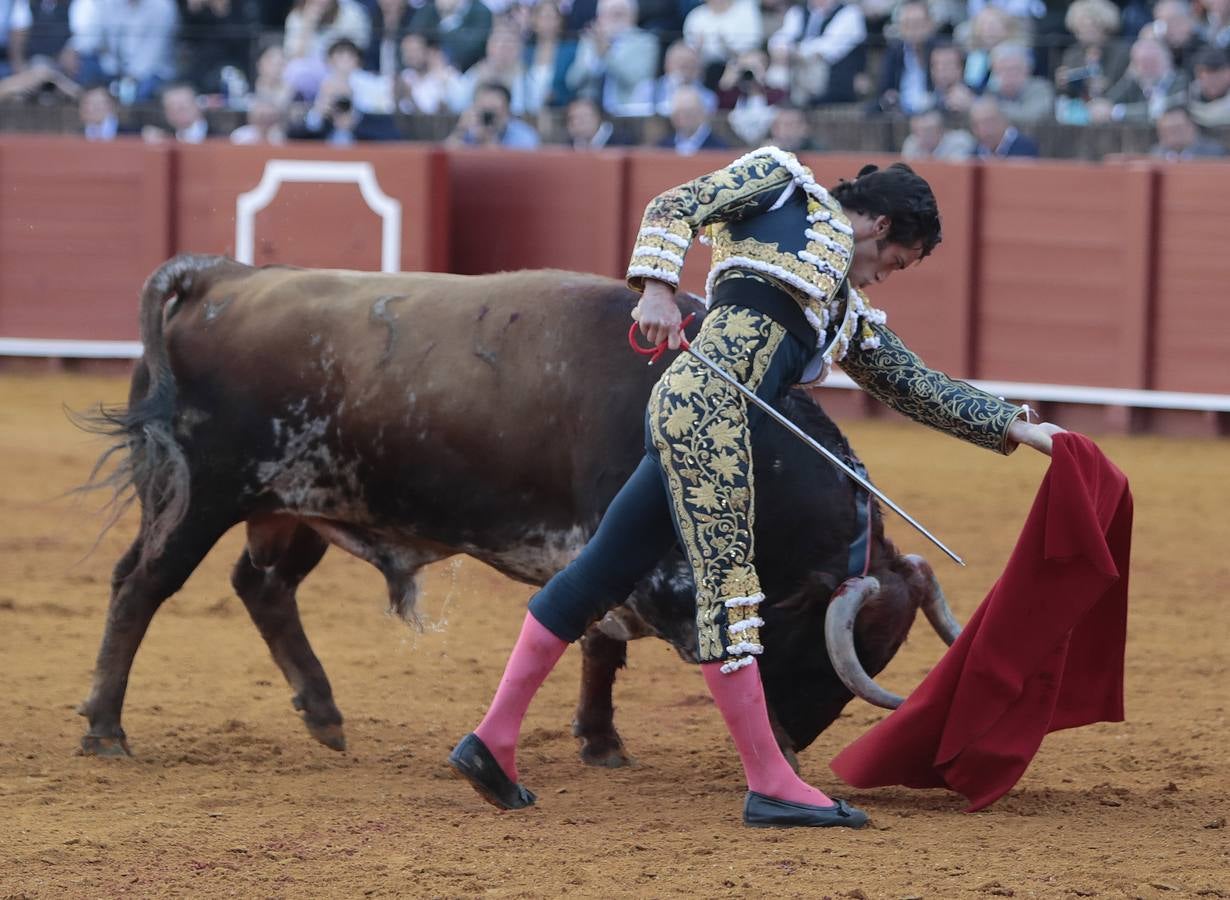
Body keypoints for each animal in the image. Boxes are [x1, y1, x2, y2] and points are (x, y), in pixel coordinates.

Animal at [79, 256, 959, 772]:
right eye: (834, 651)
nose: (796, 744)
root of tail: (222, 278)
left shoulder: (612, 551)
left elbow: (600, 641)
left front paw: (601, 741)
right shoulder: (656, 568)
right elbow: (650, 637)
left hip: (296, 504)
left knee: (261, 587)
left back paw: (324, 716)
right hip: (200, 495)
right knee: (140, 586)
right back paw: (106, 731)